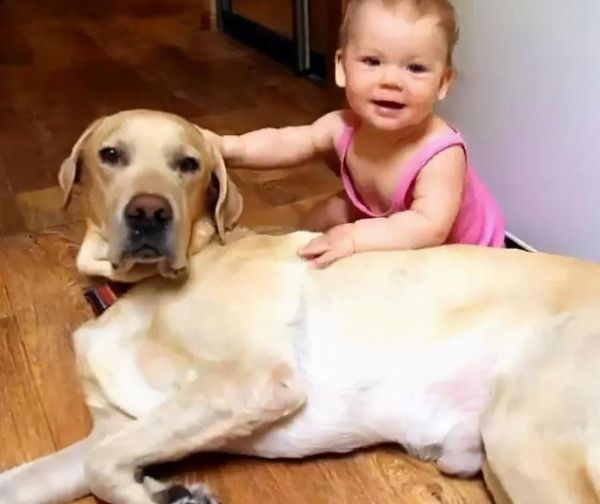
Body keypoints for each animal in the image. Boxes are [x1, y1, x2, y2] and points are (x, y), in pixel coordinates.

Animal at [2, 109, 600, 504]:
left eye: (188, 164)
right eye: (111, 155)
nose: (149, 214)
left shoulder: (254, 379)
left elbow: (102, 467)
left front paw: (165, 496)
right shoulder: (115, 426)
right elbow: (52, 472)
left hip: (523, 442)